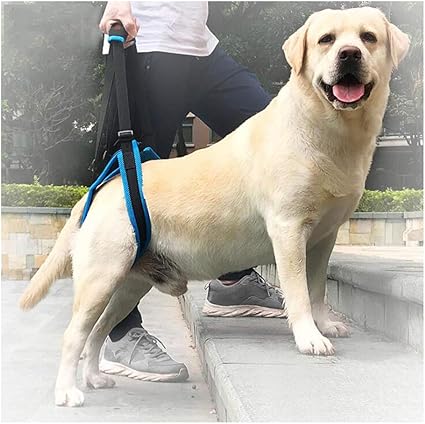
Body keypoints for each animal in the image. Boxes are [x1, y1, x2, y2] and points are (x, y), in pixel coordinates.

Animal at [19, 7, 409, 407]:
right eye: (326, 39)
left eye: (368, 37)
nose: (349, 55)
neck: (327, 131)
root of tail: (107, 186)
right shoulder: (288, 230)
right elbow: (299, 293)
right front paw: (309, 337)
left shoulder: (323, 239)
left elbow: (317, 289)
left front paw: (326, 323)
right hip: (102, 276)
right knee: (74, 335)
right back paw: (68, 391)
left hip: (129, 285)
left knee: (97, 331)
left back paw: (95, 377)